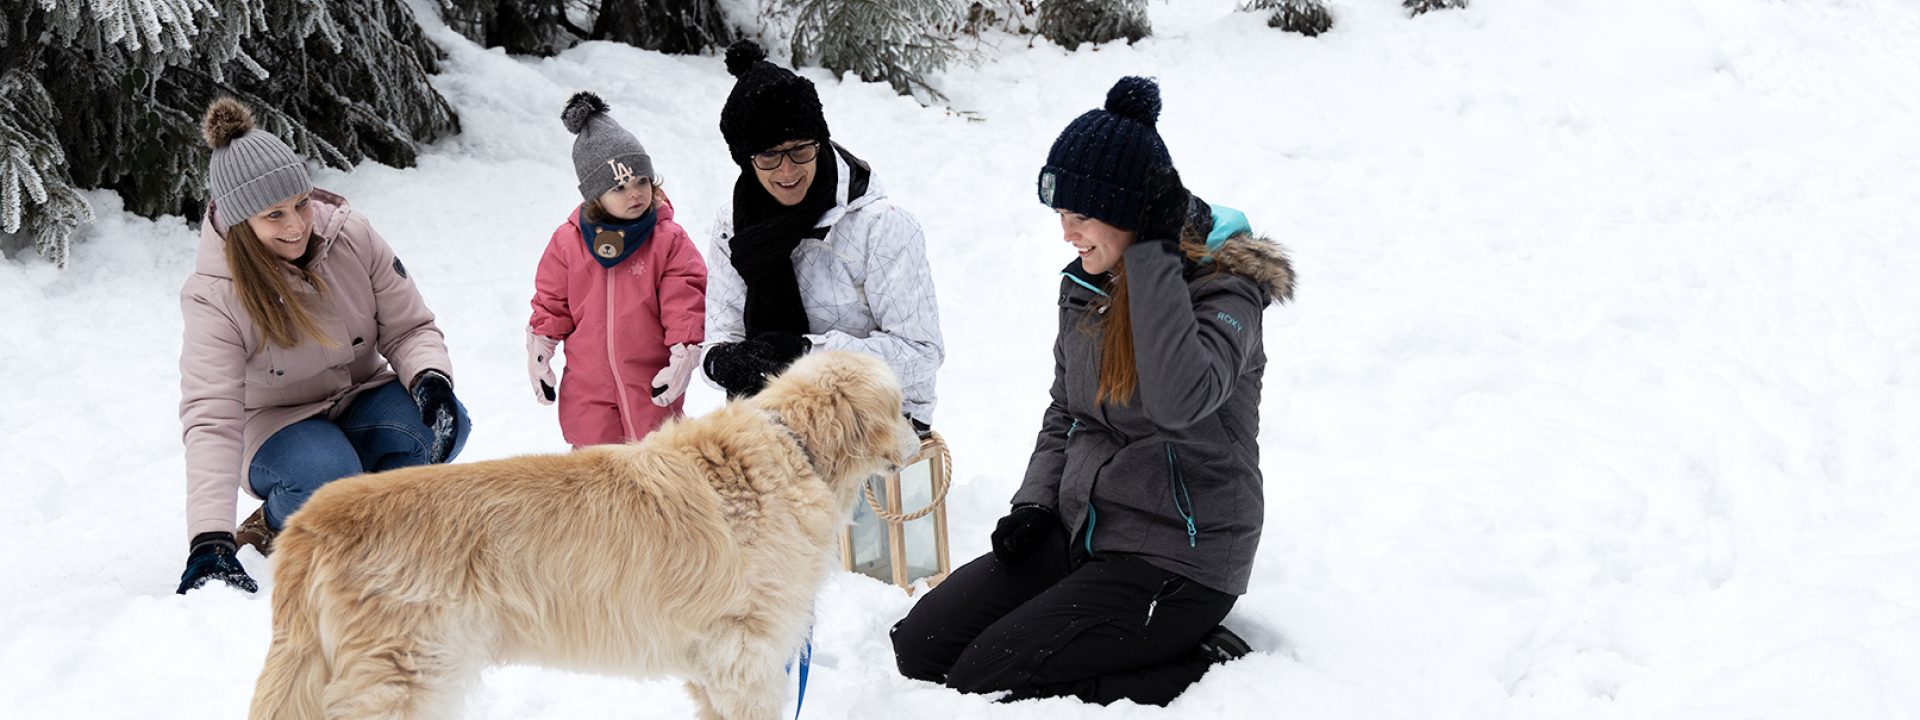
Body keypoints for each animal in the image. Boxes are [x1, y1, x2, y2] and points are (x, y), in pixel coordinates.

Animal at [249, 353, 921, 718]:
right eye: (898, 404)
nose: (921, 432)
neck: (792, 446)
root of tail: (311, 520)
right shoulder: (746, 659)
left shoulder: (712, 667)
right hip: (400, 681)